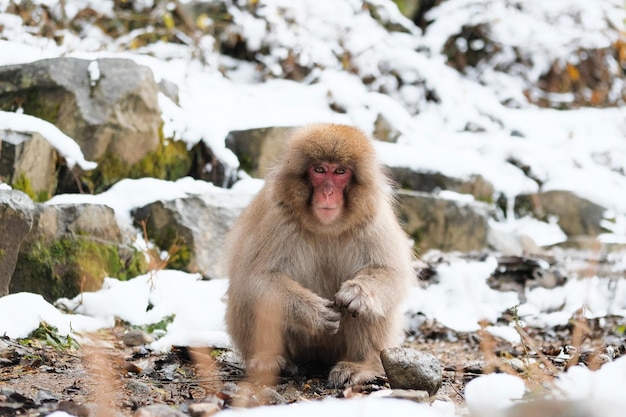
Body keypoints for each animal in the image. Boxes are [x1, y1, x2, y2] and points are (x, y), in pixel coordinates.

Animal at [224, 123, 414, 386]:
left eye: (340, 171)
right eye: (320, 170)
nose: (328, 192)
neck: (326, 225)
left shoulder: (372, 218)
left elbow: (390, 272)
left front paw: (358, 294)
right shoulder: (278, 215)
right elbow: (256, 277)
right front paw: (313, 312)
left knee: (372, 307)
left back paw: (359, 365)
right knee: (247, 293)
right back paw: (268, 359)